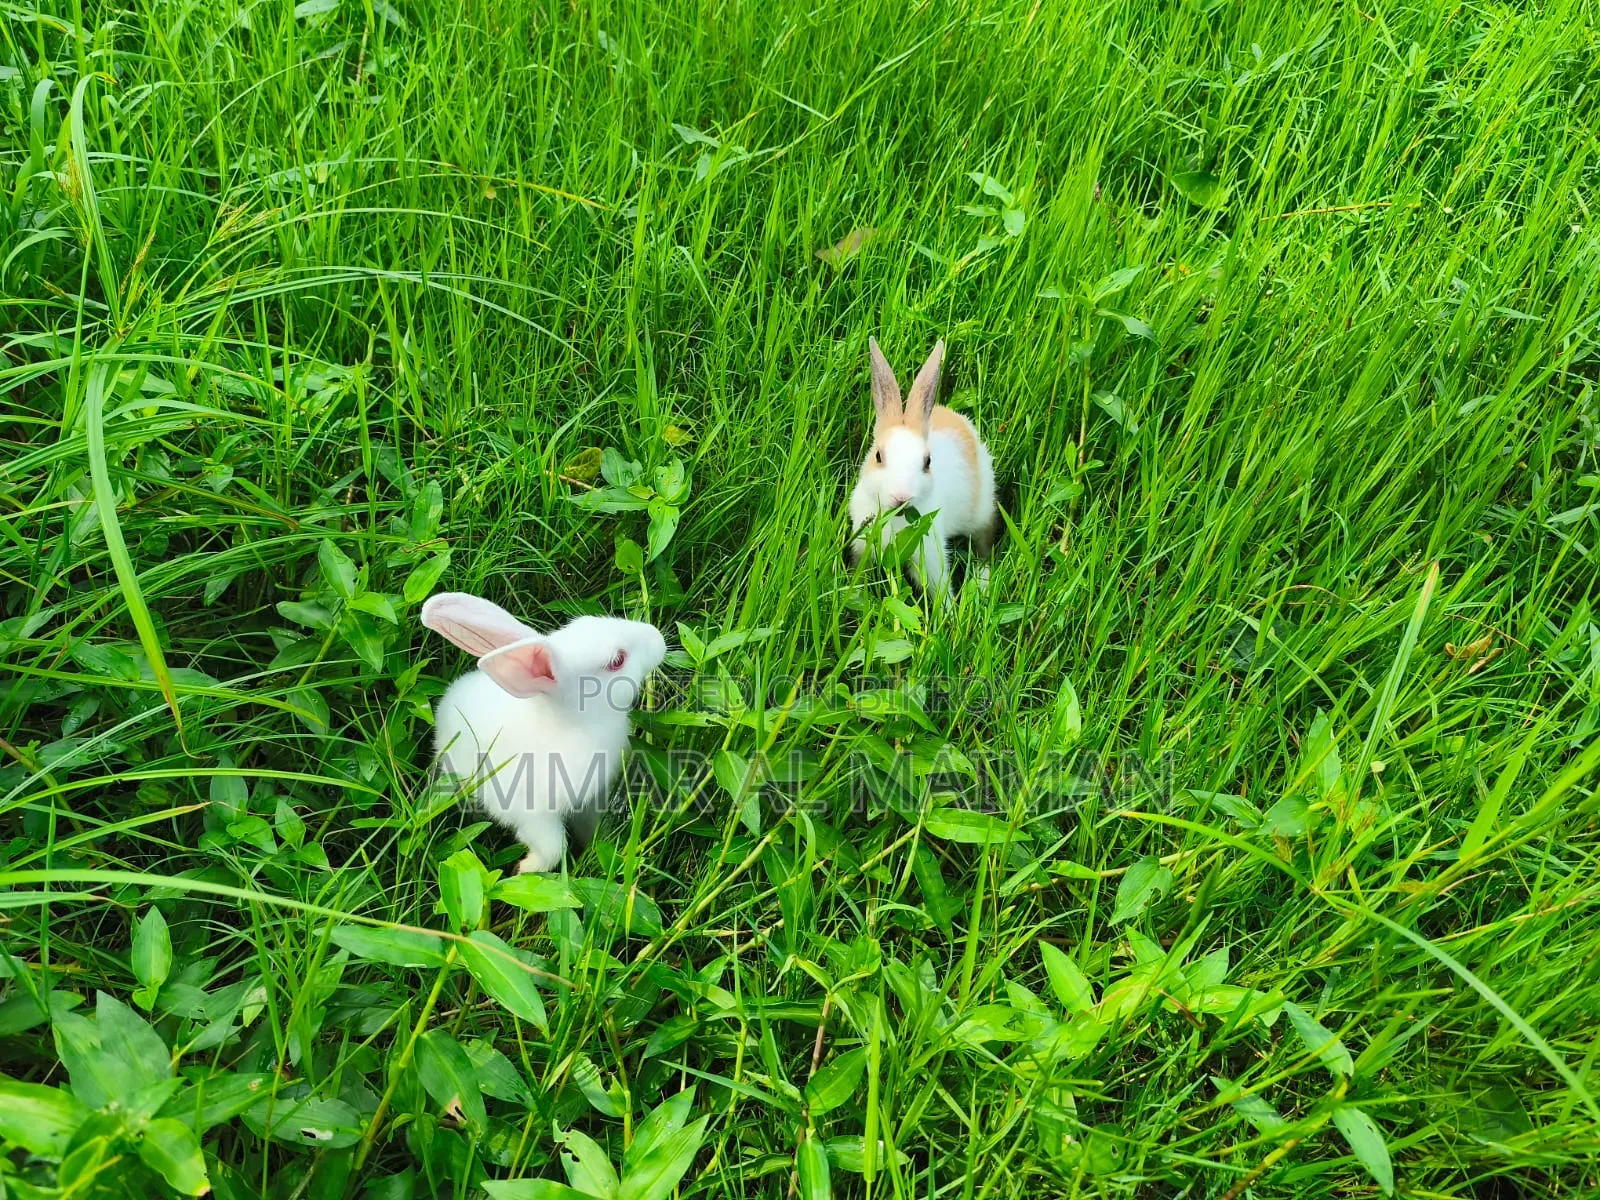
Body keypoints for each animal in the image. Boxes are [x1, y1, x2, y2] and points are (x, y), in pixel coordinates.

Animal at [420, 591, 667, 874]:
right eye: (617, 661)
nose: (657, 637)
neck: (577, 724)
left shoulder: (591, 800)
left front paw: (598, 846)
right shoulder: (530, 813)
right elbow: (553, 848)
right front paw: (524, 870)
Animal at [848, 337, 997, 603]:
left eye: (927, 462)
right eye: (878, 456)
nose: (901, 496)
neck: (894, 519)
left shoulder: (930, 556)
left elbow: (939, 587)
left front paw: (948, 611)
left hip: (982, 512)